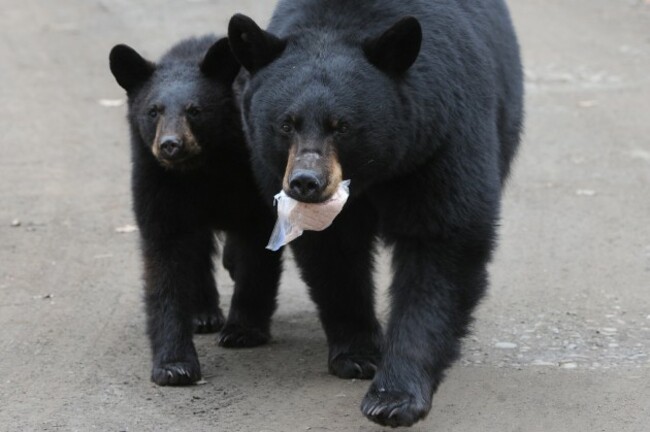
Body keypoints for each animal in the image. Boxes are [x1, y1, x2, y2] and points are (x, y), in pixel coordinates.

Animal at [109, 36, 280, 384]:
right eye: (153, 111)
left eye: (195, 110)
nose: (170, 144)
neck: (200, 169)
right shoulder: (156, 182)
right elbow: (165, 263)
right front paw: (174, 365)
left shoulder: (249, 176)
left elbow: (257, 244)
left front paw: (242, 331)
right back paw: (202, 314)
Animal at [228, 0, 520, 426]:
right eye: (285, 124)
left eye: (342, 125)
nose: (306, 182)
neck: (375, 173)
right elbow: (332, 255)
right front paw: (358, 353)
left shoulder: (441, 140)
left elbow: (442, 245)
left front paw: (394, 396)